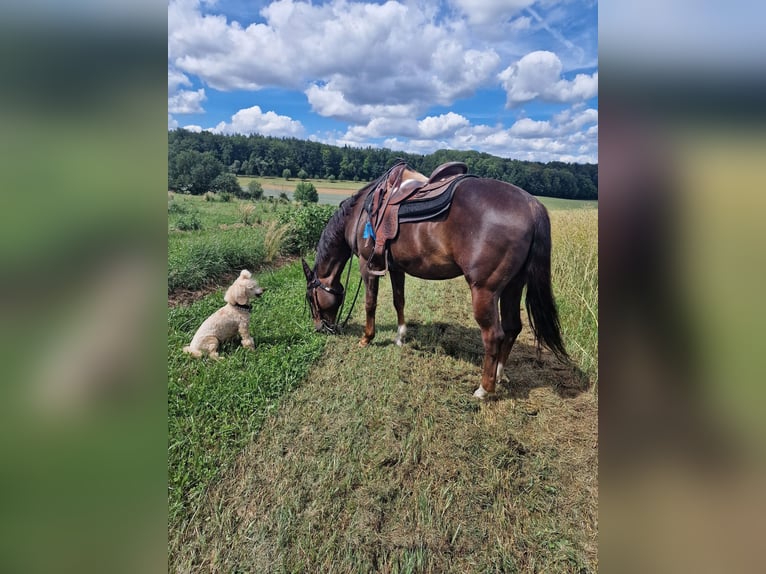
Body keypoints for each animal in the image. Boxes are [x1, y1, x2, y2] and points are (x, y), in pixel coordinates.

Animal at [302, 162, 568, 399]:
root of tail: (531, 205)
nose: (320, 328)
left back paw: (484, 389)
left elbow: (370, 303)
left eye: (310, 298)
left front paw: (367, 338)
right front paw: (400, 336)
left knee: (494, 335)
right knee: (513, 327)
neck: (360, 213)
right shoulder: (396, 268)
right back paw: (500, 375)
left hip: (485, 290)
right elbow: (399, 301)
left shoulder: (367, 266)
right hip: (513, 285)